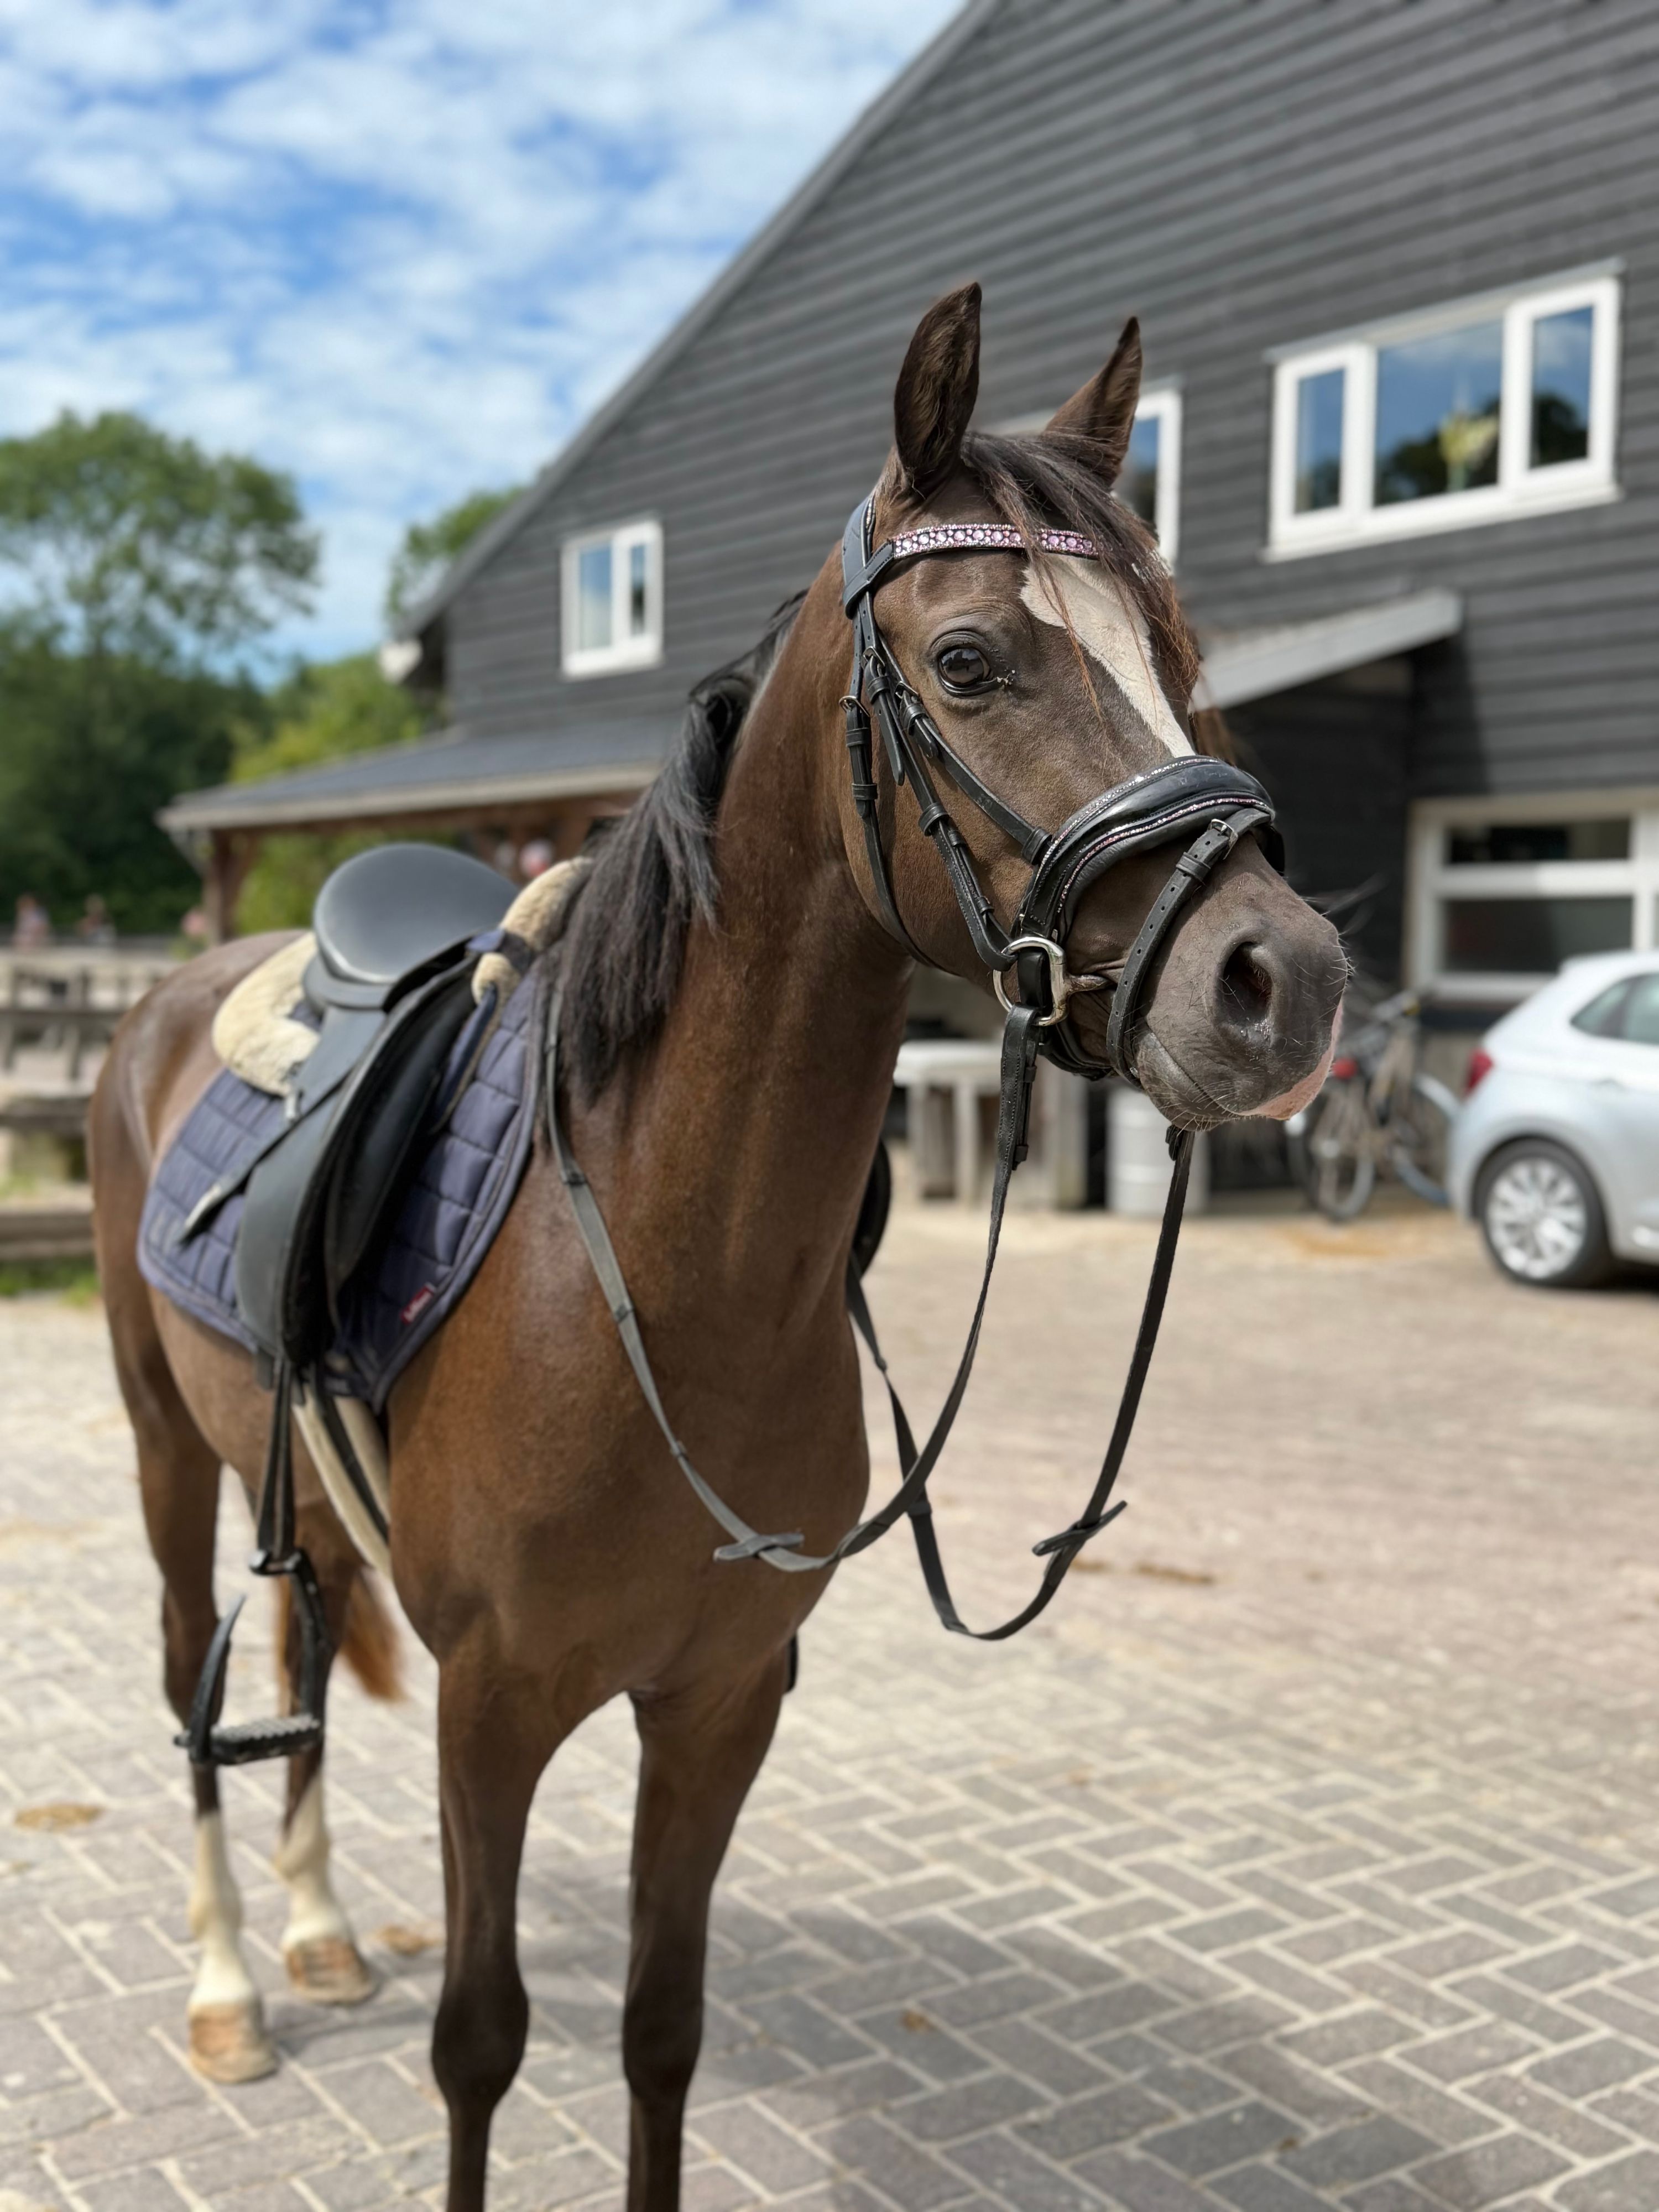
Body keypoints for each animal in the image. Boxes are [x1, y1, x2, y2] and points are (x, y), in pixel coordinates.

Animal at [90, 283, 1347, 2212]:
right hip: (162, 1446)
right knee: (189, 1683)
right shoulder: (494, 1706)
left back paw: (313, 1936)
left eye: (1178, 653)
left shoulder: (721, 1701)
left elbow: (658, 2032)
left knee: (295, 1645)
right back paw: (233, 1981)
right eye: (970, 660)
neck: (661, 1284)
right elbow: (481, 2044)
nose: (1282, 979)